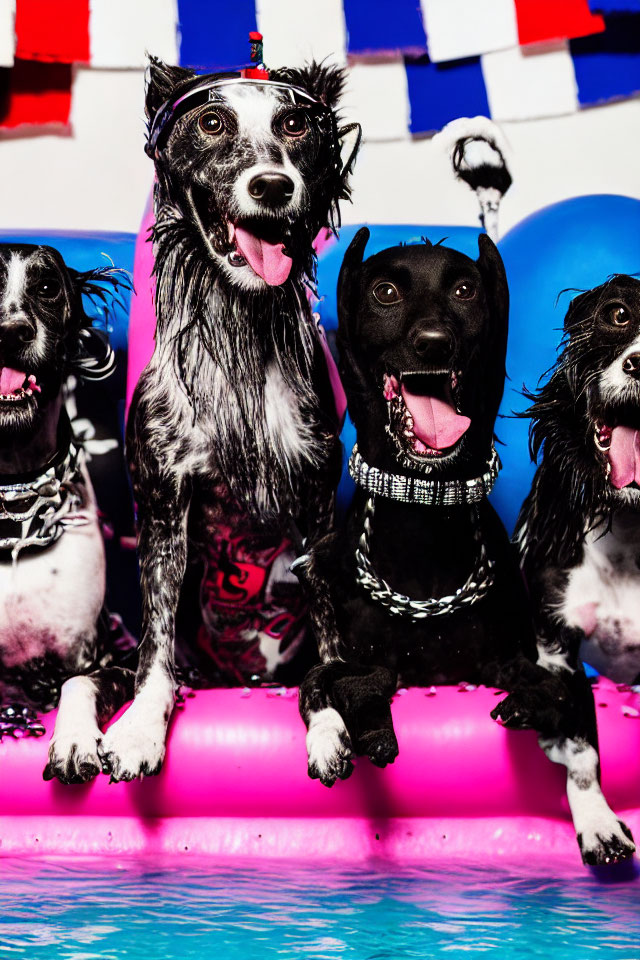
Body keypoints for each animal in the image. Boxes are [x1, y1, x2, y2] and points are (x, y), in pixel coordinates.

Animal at [98, 58, 362, 780]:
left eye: (294, 124)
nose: (273, 186)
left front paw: (329, 716)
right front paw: (140, 728)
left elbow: (328, 634)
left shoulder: (317, 503)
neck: (239, 326)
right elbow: (155, 646)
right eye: (212, 122)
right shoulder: (163, 508)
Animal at [296, 227, 568, 796]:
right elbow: (338, 677)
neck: (425, 511)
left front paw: (535, 699)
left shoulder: (504, 658)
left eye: (466, 290)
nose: (434, 342)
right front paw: (350, 730)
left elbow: (548, 682)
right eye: (384, 292)